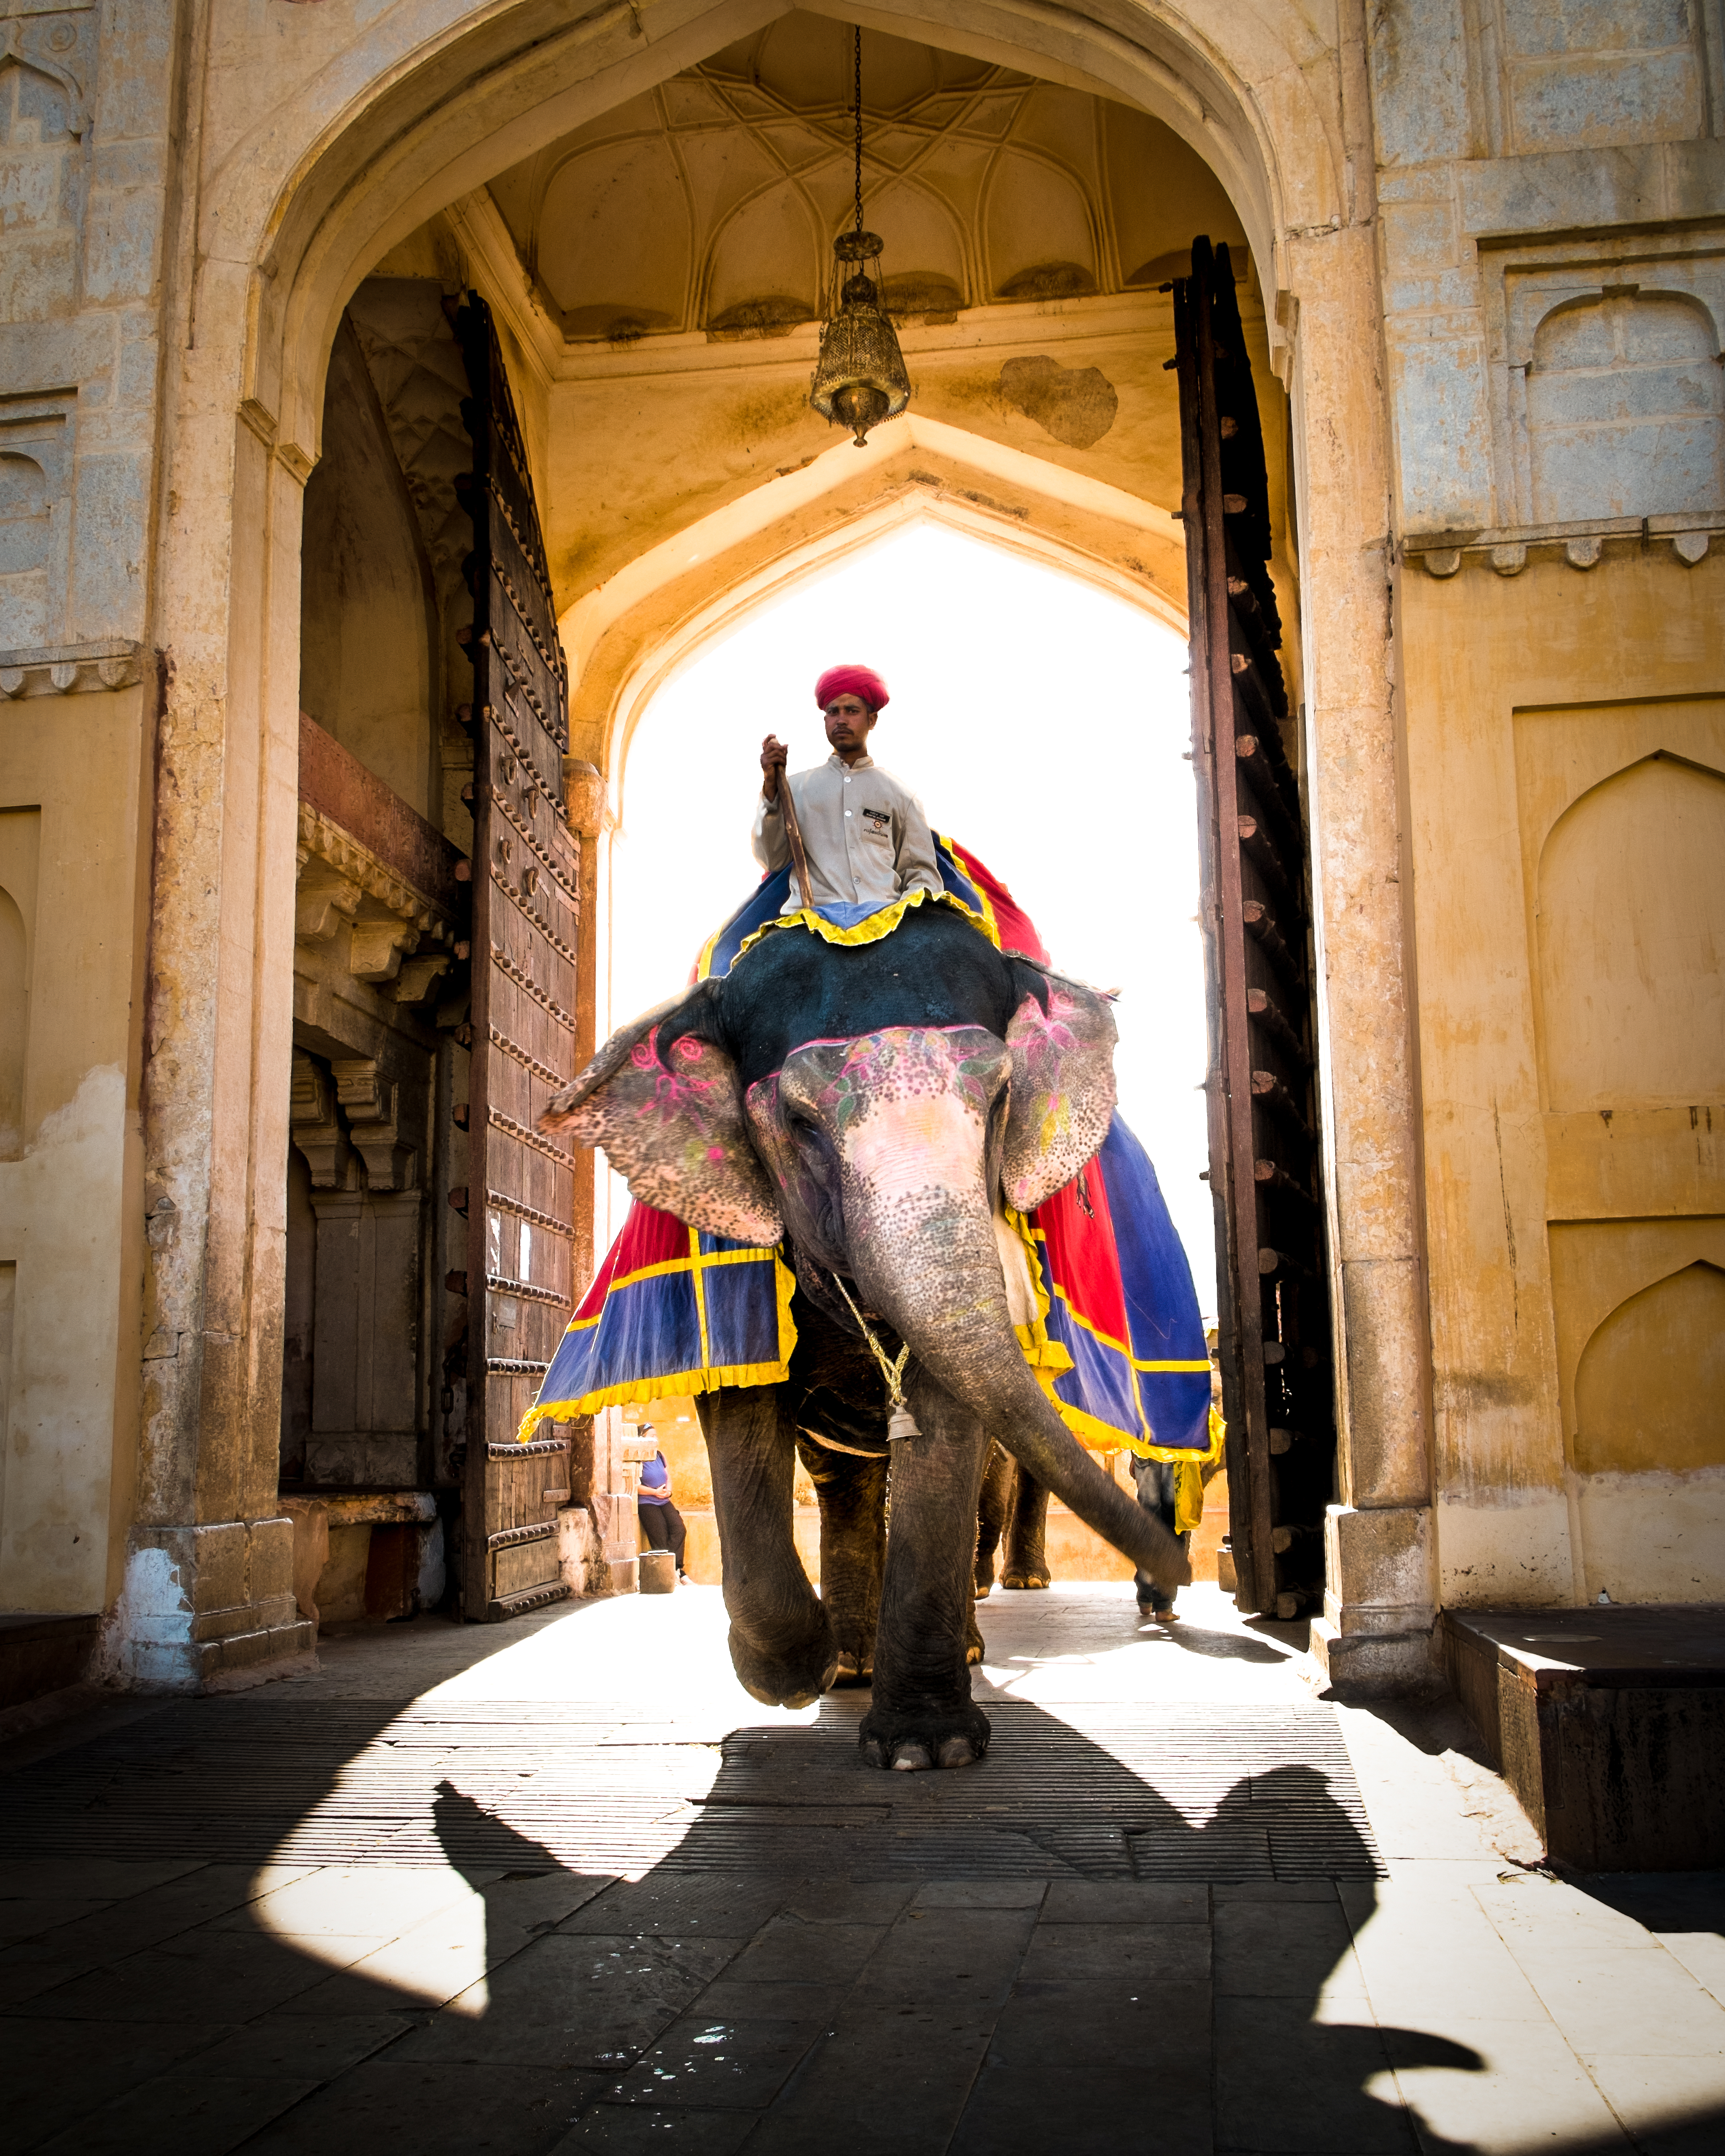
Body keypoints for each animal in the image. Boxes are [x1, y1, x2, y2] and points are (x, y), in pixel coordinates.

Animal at [542, 901, 1189, 1769]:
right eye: (798, 1121)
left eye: (1003, 1097)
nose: (1173, 1581)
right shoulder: (726, 1251)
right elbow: (741, 1412)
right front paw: (795, 1678)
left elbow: (947, 1421)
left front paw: (926, 1751)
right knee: (844, 1478)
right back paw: (848, 1667)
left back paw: (955, 1646)